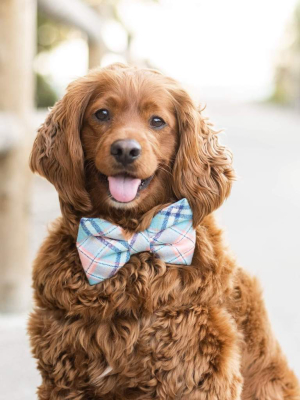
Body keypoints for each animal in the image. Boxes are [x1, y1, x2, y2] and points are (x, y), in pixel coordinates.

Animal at [27, 64, 298, 398]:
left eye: (157, 121)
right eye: (102, 114)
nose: (125, 150)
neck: (132, 238)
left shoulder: (196, 375)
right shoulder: (64, 375)